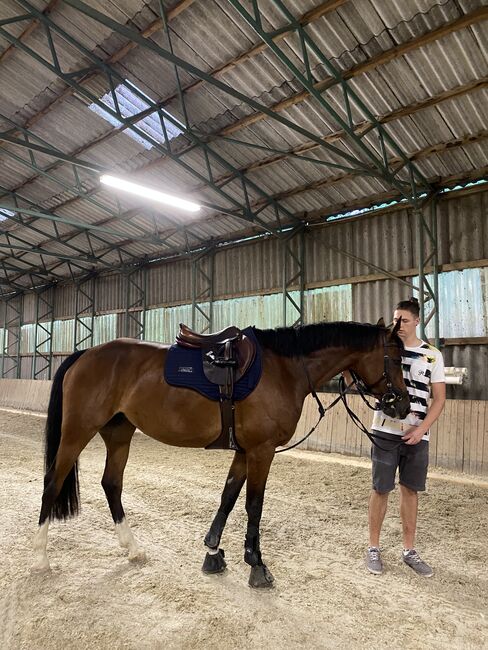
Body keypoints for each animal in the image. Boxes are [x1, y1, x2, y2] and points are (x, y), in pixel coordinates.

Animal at [32, 318, 410, 588]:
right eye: (395, 358)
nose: (403, 405)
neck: (284, 369)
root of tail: (85, 355)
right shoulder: (261, 451)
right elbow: (254, 505)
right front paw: (257, 564)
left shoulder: (245, 451)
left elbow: (228, 496)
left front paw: (213, 551)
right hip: (77, 432)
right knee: (52, 483)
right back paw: (41, 558)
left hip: (119, 433)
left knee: (111, 484)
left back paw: (133, 549)